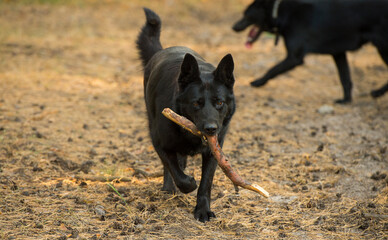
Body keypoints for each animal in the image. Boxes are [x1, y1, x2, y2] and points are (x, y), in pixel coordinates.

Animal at [136, 8, 235, 222]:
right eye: (196, 103)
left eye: (219, 102)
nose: (211, 129)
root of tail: (162, 50)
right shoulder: (159, 142)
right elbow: (175, 170)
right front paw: (187, 183)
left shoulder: (214, 152)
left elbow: (206, 183)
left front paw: (203, 210)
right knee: (171, 166)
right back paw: (169, 188)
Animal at [233, 0, 388, 103]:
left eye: (246, 15)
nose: (234, 27)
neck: (284, 14)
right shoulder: (338, 53)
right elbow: (345, 78)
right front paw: (346, 100)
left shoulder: (294, 57)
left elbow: (272, 69)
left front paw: (258, 82)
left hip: (383, 48)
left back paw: (378, 92)